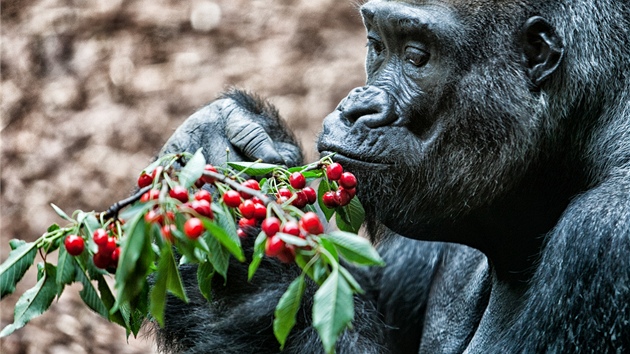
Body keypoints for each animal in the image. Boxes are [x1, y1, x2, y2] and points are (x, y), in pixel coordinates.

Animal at [156, 0, 628, 352]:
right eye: (377, 45)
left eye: (417, 55)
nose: (357, 107)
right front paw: (215, 131)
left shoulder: (603, 235)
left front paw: (251, 267)